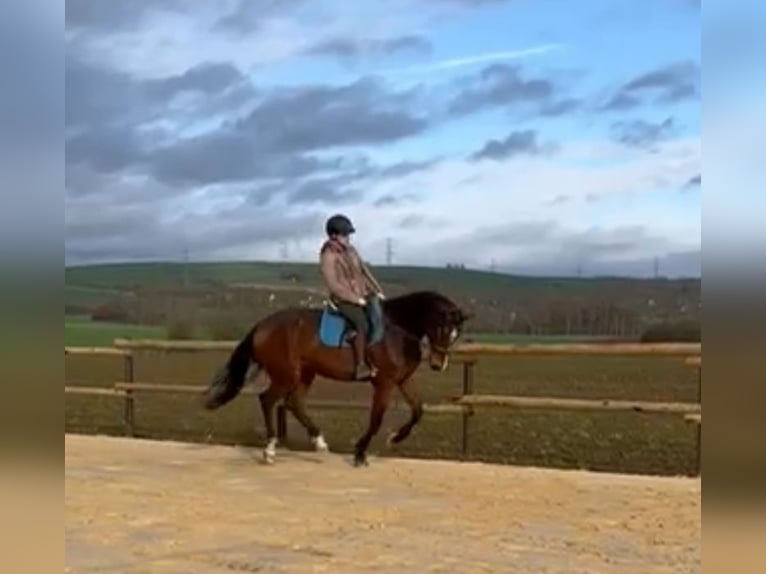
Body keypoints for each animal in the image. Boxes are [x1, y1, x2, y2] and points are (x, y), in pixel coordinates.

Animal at [201, 292, 472, 468]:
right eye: (441, 328)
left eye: (457, 334)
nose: (437, 364)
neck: (397, 328)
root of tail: (262, 325)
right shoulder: (384, 382)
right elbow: (376, 419)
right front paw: (360, 454)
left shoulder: (402, 380)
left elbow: (418, 410)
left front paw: (395, 438)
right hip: (286, 374)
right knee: (268, 399)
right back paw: (270, 451)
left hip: (305, 373)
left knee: (293, 403)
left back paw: (319, 442)